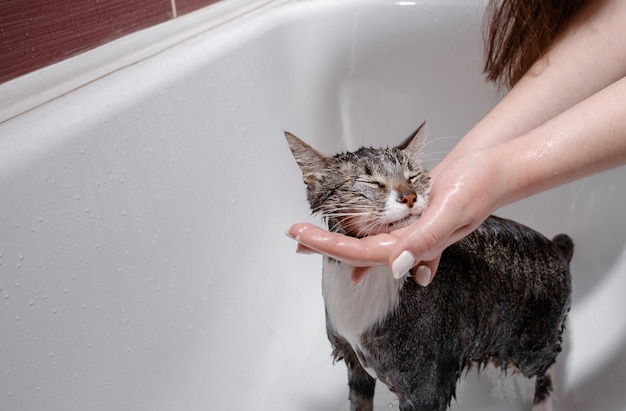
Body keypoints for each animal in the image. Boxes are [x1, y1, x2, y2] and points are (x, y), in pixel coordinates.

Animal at [286, 123, 572, 411]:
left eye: (412, 177)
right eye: (371, 182)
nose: (409, 196)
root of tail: (556, 248)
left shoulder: (425, 388)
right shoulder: (352, 360)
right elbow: (359, 401)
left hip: (531, 345)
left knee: (548, 364)